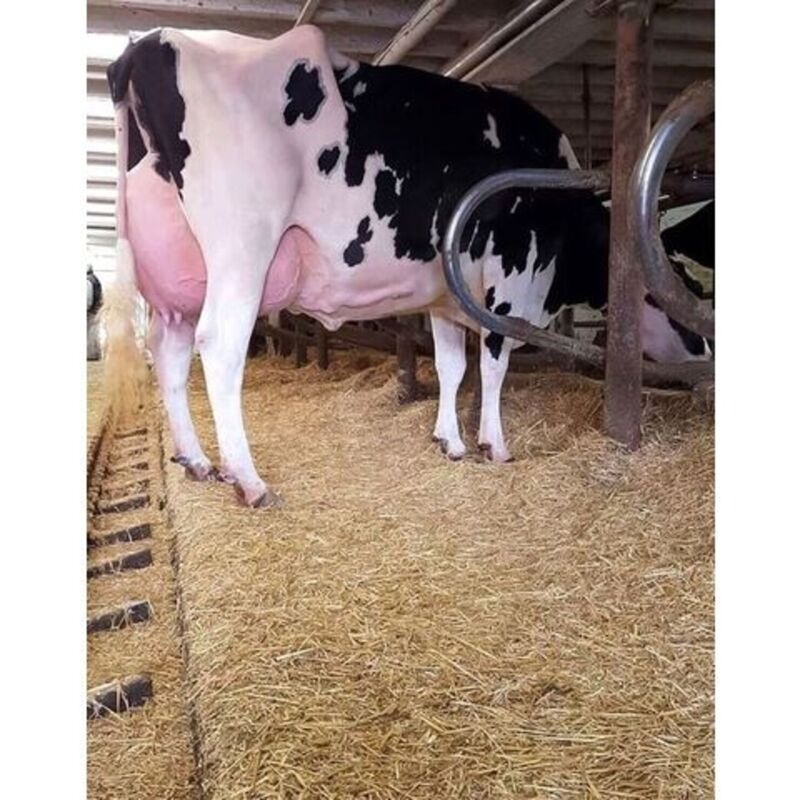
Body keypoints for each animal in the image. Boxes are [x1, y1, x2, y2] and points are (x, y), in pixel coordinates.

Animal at [104, 26, 710, 508]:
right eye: (680, 289)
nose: (706, 353)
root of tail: (150, 41)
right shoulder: (514, 275)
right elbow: (494, 361)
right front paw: (494, 445)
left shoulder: (445, 295)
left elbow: (451, 365)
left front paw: (451, 441)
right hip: (242, 250)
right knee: (219, 348)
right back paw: (249, 479)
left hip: (174, 289)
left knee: (170, 356)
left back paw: (196, 460)